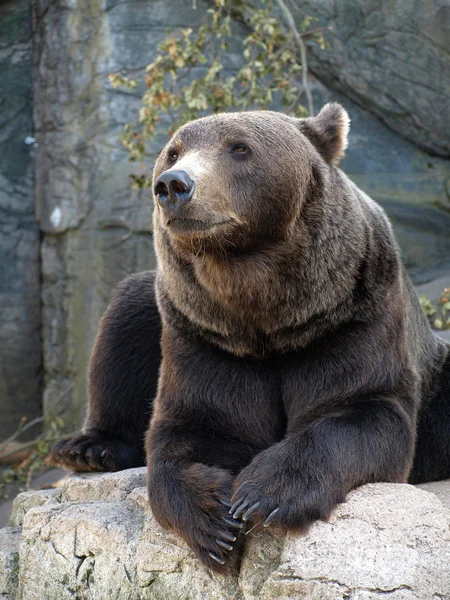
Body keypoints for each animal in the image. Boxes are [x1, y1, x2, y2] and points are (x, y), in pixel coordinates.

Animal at [51, 103, 450, 572]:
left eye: (240, 147)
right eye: (173, 152)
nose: (173, 185)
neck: (265, 314)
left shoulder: (351, 317)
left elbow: (361, 408)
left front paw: (267, 494)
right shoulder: (206, 336)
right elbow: (198, 427)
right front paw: (214, 519)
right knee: (127, 314)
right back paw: (89, 448)